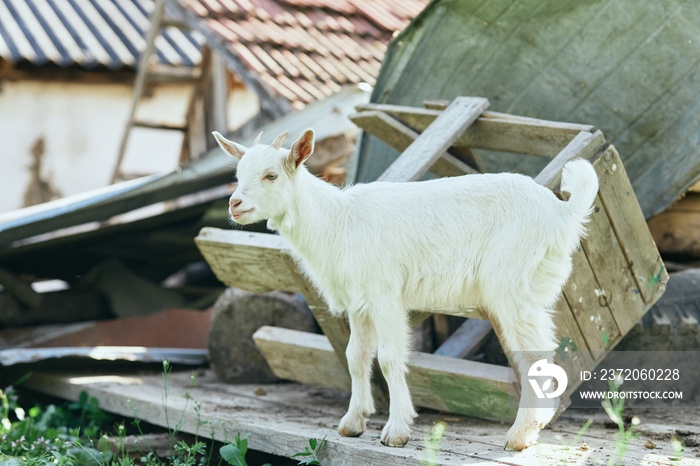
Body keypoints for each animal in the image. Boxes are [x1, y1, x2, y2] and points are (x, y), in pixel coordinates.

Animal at [212, 128, 596, 452]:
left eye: (271, 175)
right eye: (237, 175)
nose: (235, 204)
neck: (338, 221)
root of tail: (563, 211)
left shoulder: (385, 295)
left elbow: (390, 357)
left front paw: (396, 431)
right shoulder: (360, 303)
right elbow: (355, 357)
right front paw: (353, 422)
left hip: (514, 286)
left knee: (535, 355)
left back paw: (520, 435)